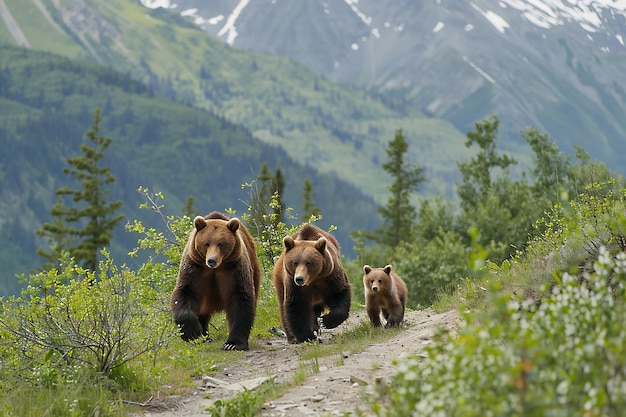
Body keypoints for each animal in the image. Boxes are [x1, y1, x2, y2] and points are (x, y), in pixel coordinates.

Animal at [169, 210, 260, 350]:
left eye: (221, 243)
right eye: (206, 243)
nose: (211, 260)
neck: (216, 269)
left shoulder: (235, 269)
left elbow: (241, 298)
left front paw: (232, 344)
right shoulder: (194, 268)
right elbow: (185, 293)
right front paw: (193, 333)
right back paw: (205, 337)